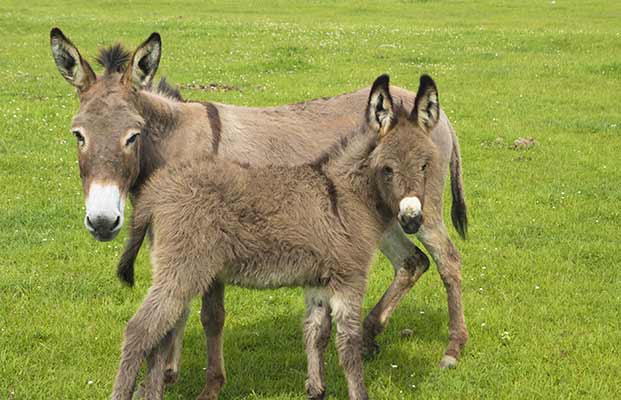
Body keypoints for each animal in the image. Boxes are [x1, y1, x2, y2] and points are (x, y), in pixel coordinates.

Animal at [111, 73, 440, 398]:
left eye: (425, 165)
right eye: (387, 169)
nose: (412, 219)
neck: (345, 194)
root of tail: (157, 190)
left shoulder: (317, 281)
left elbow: (315, 333)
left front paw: (316, 389)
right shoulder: (349, 278)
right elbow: (348, 347)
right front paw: (358, 393)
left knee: (158, 339)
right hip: (184, 270)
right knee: (139, 331)